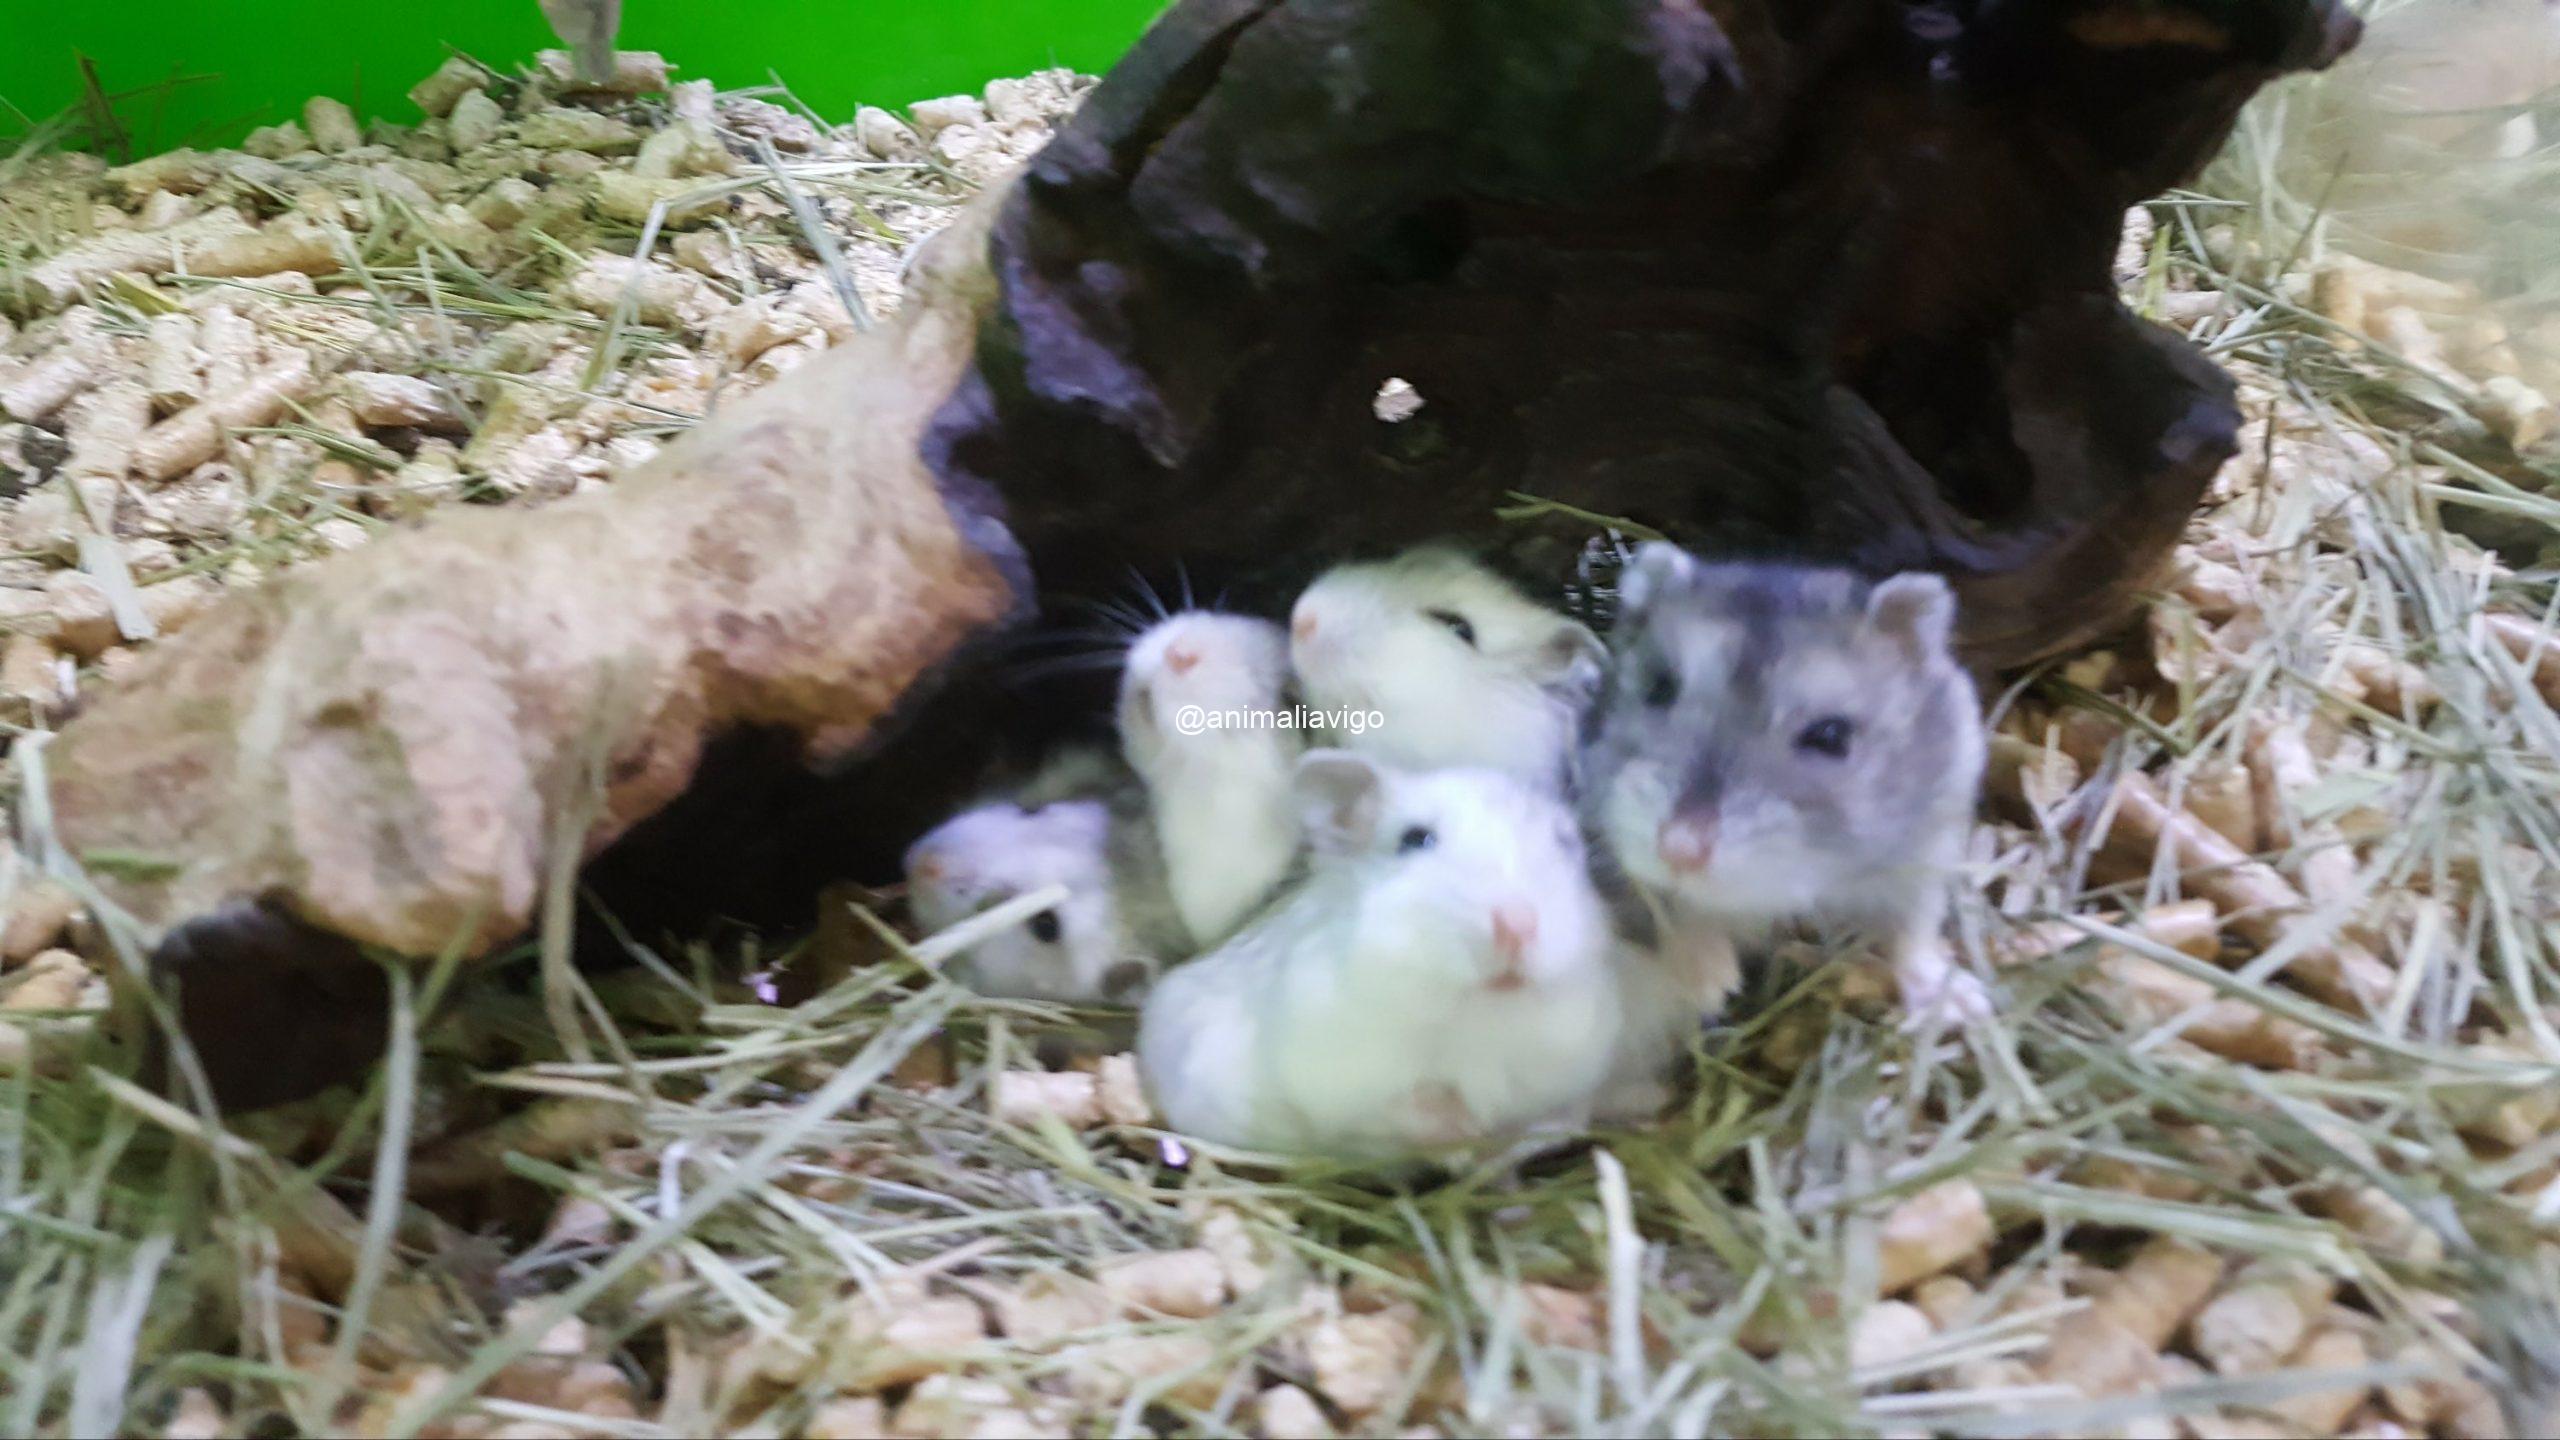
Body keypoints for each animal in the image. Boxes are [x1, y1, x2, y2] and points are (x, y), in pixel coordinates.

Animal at [1138, 751, 1624, 1160]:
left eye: (1566, 842)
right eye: (1415, 838)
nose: (1518, 927)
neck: (1471, 1014)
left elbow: (1547, 1116)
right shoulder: (1333, 1075)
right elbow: (1400, 1107)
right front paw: (1461, 1129)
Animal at [1581, 543, 1991, 1031]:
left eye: (1831, 735)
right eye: (1660, 687)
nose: (1678, 850)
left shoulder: (1930, 847)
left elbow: (1914, 930)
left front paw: (1963, 1004)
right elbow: (1663, 909)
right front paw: (1712, 985)